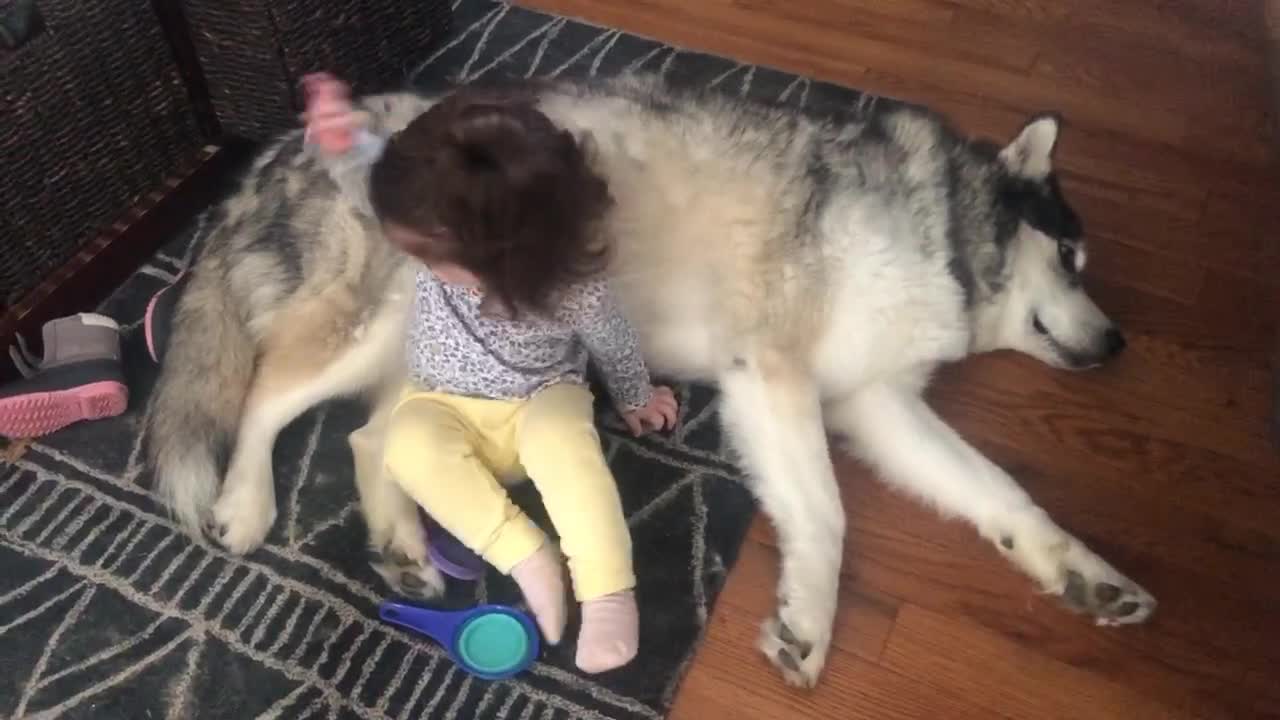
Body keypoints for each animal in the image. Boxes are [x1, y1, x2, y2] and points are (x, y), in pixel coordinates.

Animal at [147, 73, 1162, 681]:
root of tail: (289, 142)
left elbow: (1000, 493)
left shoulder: (873, 403)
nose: (1117, 342)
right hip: (382, 321)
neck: (943, 233)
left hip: (437, 350)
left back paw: (400, 540)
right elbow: (828, 513)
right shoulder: (772, 372)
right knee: (266, 391)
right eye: (1071, 255)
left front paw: (1085, 575)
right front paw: (808, 619)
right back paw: (244, 503)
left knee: (370, 435)